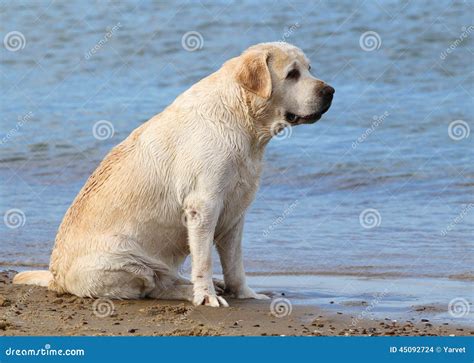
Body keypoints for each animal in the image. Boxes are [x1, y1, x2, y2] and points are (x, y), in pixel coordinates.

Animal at [13, 42, 334, 308]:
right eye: (292, 74)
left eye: (309, 69)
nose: (330, 91)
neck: (243, 121)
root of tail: (56, 278)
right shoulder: (203, 206)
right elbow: (203, 260)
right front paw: (206, 297)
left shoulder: (235, 214)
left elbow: (235, 265)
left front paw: (244, 293)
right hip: (127, 260)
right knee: (152, 288)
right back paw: (193, 291)